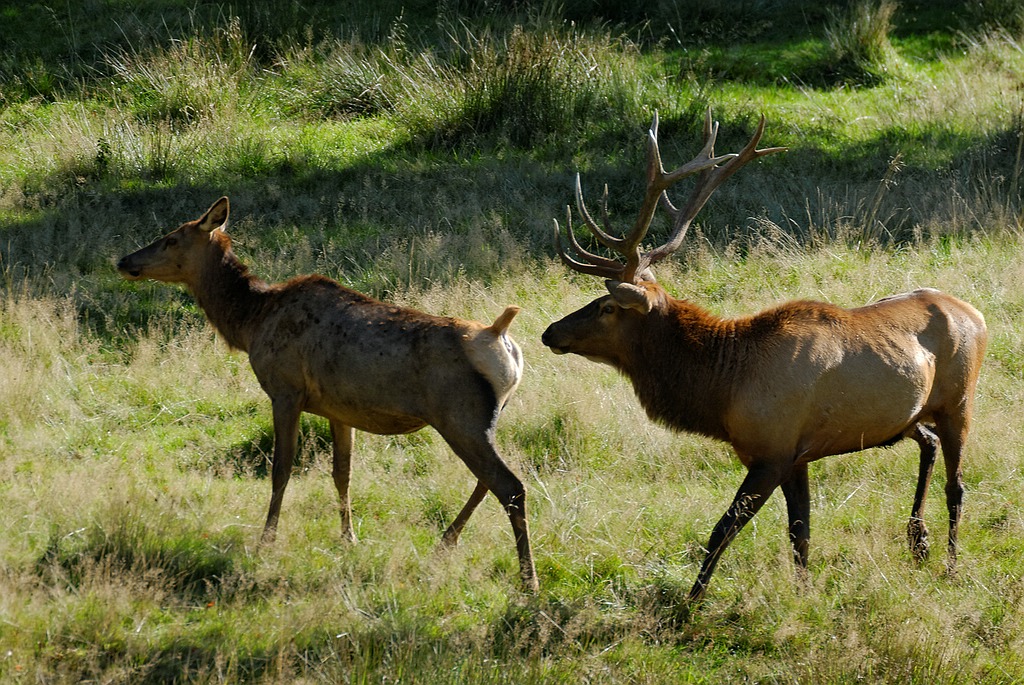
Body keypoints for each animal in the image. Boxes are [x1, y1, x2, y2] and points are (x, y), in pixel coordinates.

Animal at [117, 197, 538, 592]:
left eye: (171, 238)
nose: (124, 260)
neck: (250, 323)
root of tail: (500, 337)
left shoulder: (285, 390)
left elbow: (281, 469)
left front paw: (266, 540)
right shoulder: (339, 410)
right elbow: (342, 474)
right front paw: (348, 538)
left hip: (459, 417)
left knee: (509, 486)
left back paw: (527, 580)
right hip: (485, 417)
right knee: (488, 481)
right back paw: (445, 544)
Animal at [541, 109, 988, 607]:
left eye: (607, 307)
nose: (549, 331)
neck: (722, 391)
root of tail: (977, 313)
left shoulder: (773, 452)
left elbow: (724, 528)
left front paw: (690, 604)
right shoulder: (796, 456)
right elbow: (800, 533)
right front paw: (803, 595)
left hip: (959, 402)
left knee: (957, 485)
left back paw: (949, 565)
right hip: (908, 416)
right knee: (926, 444)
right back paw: (917, 541)